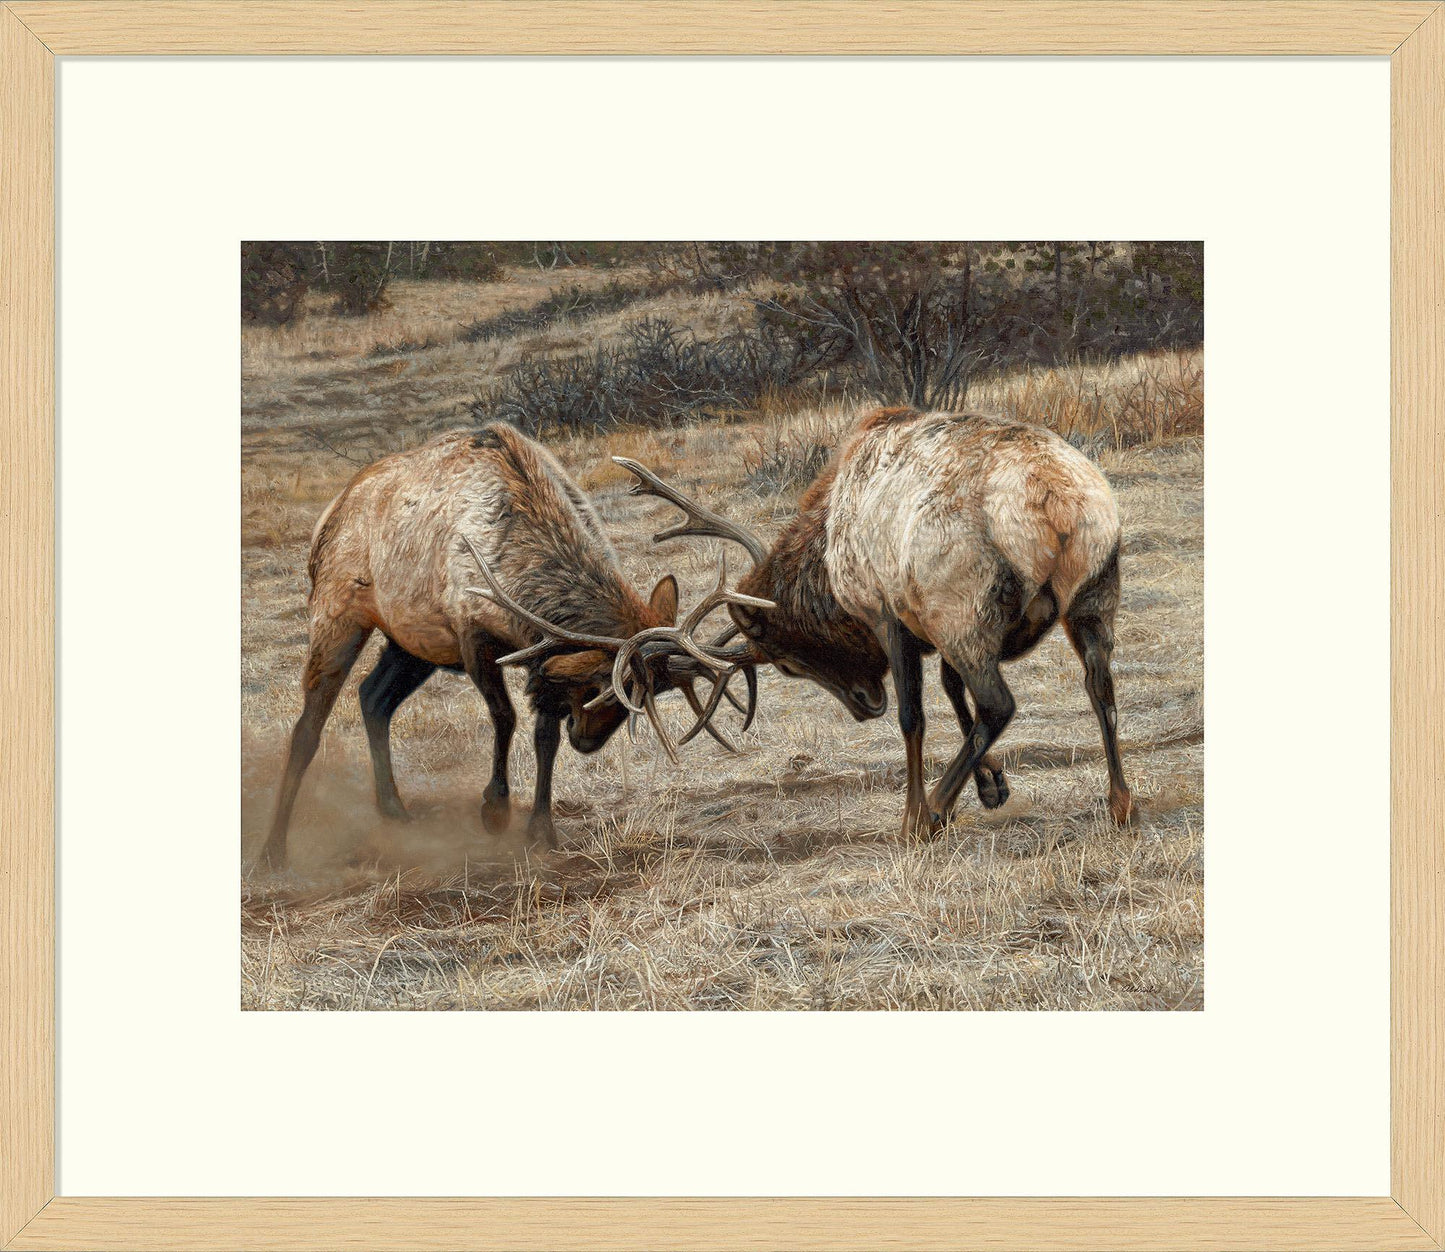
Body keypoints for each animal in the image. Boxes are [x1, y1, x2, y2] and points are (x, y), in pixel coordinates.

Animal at [259, 423, 768, 868]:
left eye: (649, 695)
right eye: (603, 686)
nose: (588, 741)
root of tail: (330, 513)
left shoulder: (538, 655)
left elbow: (544, 737)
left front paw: (541, 829)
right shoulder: (472, 635)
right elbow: (505, 717)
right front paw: (494, 809)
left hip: (412, 644)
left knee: (373, 697)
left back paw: (394, 811)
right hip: (337, 611)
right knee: (308, 726)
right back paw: (273, 850)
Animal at [615, 404, 1132, 838]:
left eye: (785, 663)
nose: (865, 705)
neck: (827, 558)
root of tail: (1057, 503)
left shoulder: (891, 616)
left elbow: (913, 717)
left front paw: (915, 814)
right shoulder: (928, 623)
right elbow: (951, 690)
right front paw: (992, 786)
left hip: (965, 606)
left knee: (998, 703)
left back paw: (934, 811)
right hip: (1093, 595)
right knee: (1100, 686)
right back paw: (1121, 803)